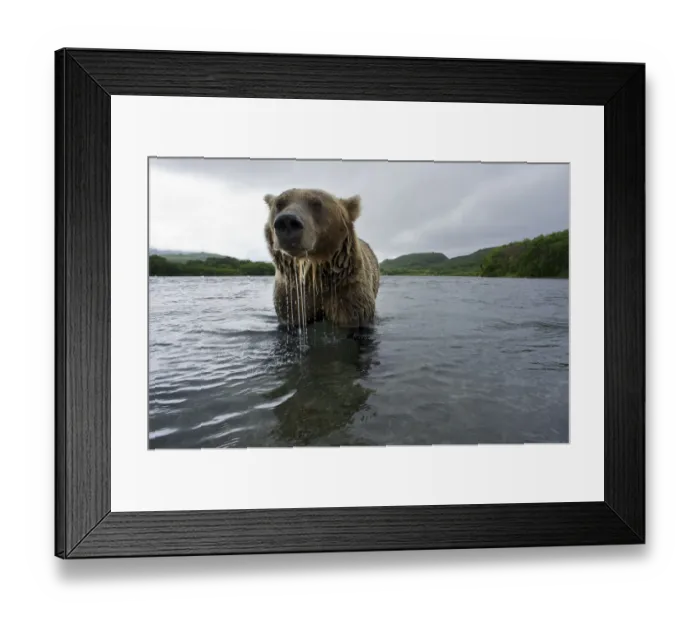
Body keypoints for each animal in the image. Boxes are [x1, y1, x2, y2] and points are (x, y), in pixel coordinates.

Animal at [263, 188, 380, 329]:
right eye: (279, 203)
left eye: (316, 203)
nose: (287, 221)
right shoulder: (290, 295)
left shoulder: (348, 290)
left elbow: (353, 316)